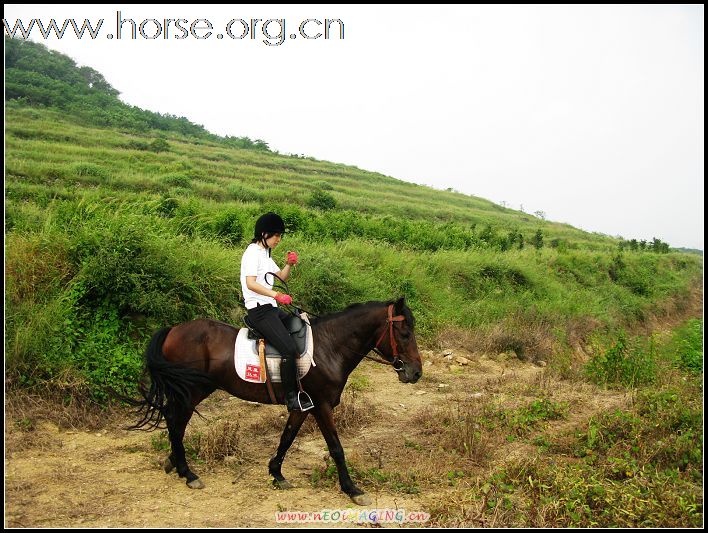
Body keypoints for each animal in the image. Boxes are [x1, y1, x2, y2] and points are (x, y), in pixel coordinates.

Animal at [129, 298, 420, 504]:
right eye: (404, 334)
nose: (416, 373)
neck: (330, 347)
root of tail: (173, 330)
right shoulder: (321, 406)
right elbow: (336, 448)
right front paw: (352, 489)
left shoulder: (303, 405)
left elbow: (287, 437)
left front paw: (276, 473)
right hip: (191, 391)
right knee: (175, 422)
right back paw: (187, 473)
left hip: (190, 391)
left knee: (173, 421)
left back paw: (175, 463)